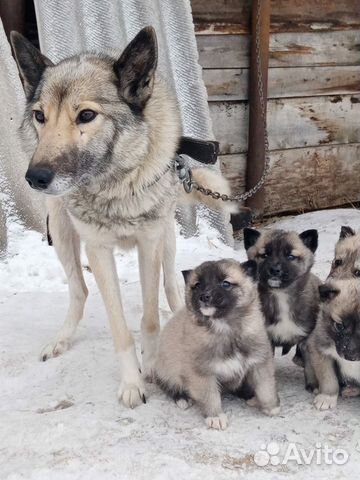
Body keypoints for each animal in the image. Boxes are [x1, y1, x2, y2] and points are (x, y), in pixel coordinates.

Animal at [153, 260, 280, 430]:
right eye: (197, 285)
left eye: (226, 283)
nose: (204, 296)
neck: (226, 328)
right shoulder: (203, 373)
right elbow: (211, 396)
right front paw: (215, 416)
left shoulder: (259, 363)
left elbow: (266, 387)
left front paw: (271, 407)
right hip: (167, 370)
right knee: (169, 385)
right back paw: (182, 399)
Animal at [243, 228, 320, 390]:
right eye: (264, 255)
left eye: (291, 256)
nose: (274, 270)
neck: (281, 295)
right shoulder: (267, 340)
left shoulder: (307, 338)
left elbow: (310, 363)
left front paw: (312, 384)